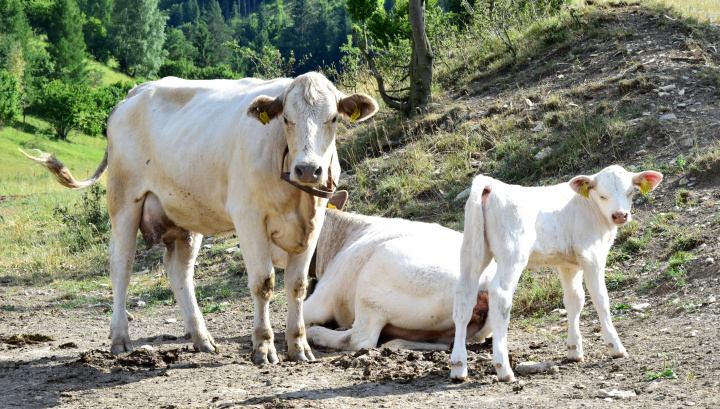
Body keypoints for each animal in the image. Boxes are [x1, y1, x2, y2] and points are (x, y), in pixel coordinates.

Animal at [20, 73, 380, 364]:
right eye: (287, 120)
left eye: (333, 118)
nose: (308, 169)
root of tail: (136, 91)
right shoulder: (248, 216)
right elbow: (263, 283)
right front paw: (263, 348)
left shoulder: (314, 221)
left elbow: (297, 285)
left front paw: (299, 347)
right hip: (124, 200)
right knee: (121, 266)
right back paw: (120, 339)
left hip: (184, 216)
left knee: (179, 272)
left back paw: (201, 338)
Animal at [450, 164, 664, 380]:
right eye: (602, 195)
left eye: (630, 192)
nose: (620, 215)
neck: (590, 207)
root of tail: (492, 185)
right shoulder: (592, 255)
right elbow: (601, 299)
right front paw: (615, 347)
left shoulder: (568, 263)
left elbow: (574, 300)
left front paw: (574, 350)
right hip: (512, 254)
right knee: (500, 296)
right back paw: (503, 368)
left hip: (471, 250)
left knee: (464, 298)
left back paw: (459, 366)